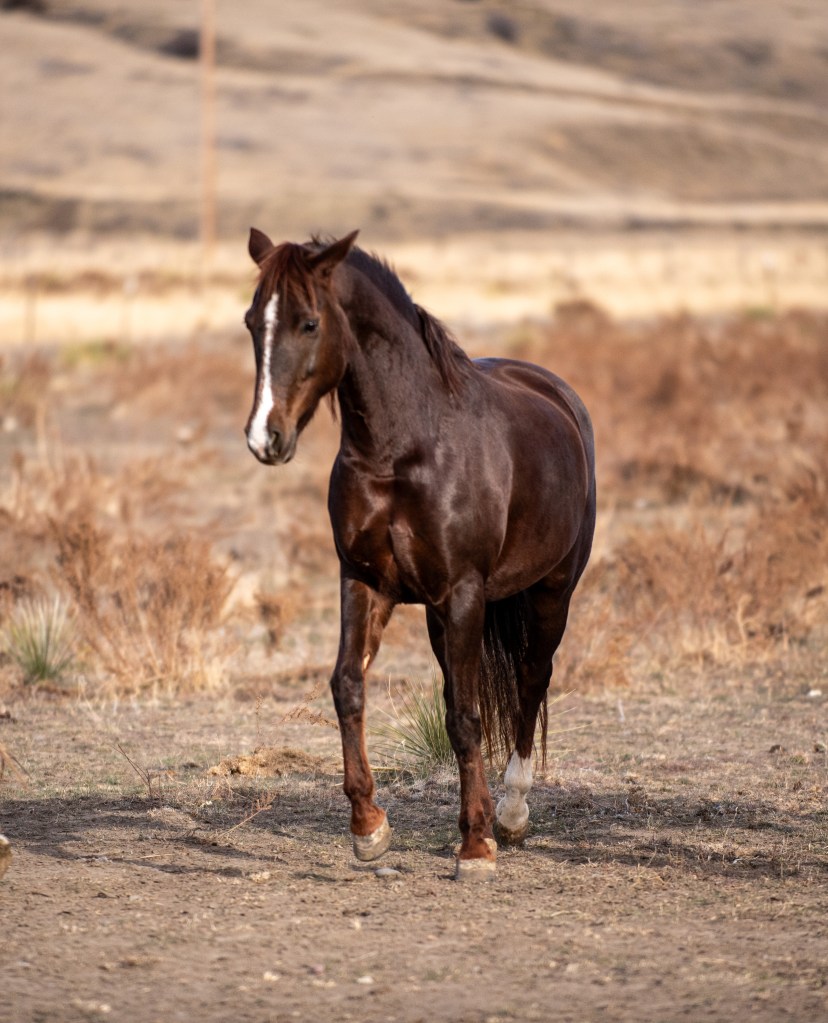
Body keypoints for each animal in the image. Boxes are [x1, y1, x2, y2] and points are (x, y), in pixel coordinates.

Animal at [243, 229, 596, 881]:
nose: (264, 437)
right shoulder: (363, 582)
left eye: (309, 323)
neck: (404, 451)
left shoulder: (464, 592)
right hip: (439, 617)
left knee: (531, 681)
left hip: (551, 593)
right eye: (254, 322)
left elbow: (466, 717)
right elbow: (349, 688)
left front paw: (476, 845)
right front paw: (369, 828)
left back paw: (511, 814)